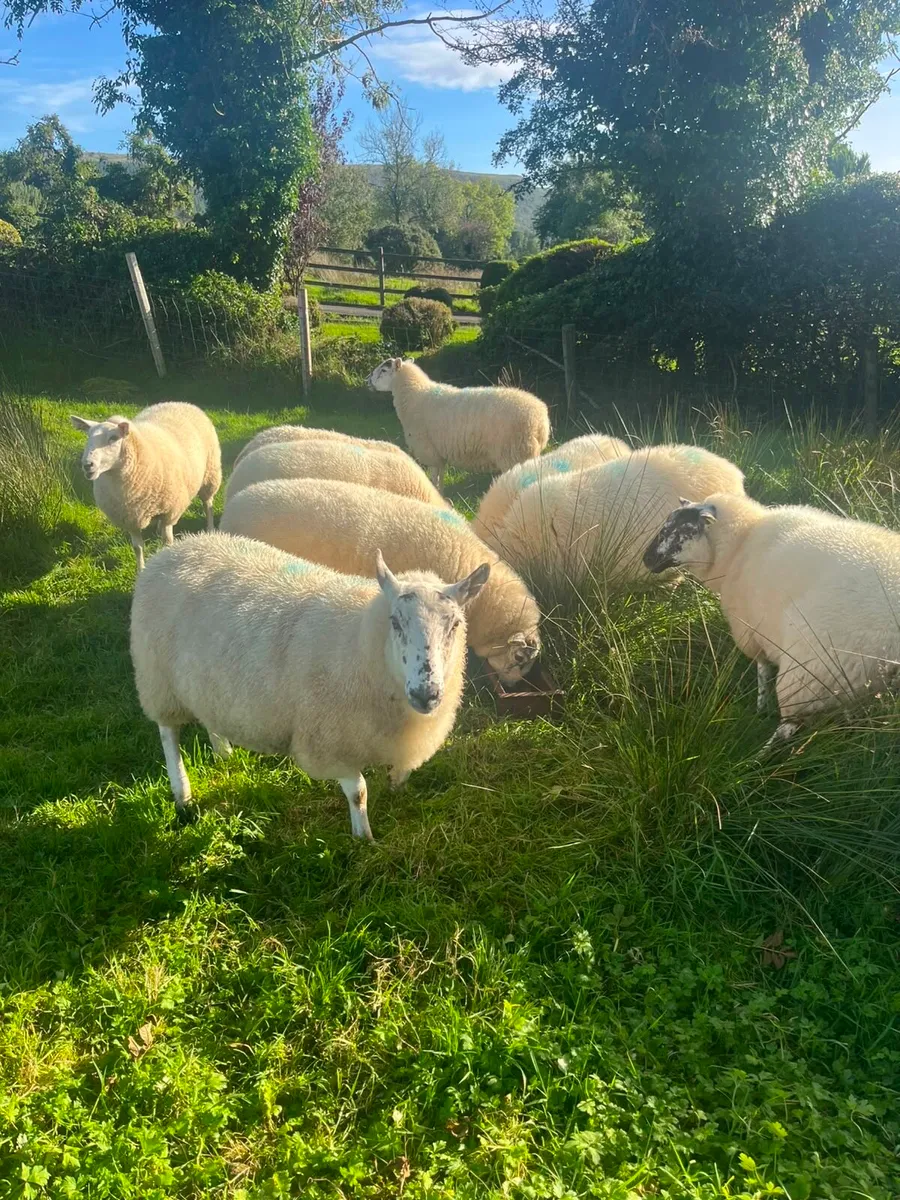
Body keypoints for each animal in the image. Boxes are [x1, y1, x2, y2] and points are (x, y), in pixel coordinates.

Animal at [70, 401, 221, 571]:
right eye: (88, 437)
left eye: (113, 438)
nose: (87, 465)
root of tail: (181, 403)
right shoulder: (130, 518)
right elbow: (137, 548)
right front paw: (140, 570)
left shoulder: (170, 512)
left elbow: (167, 543)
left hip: (210, 474)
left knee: (207, 504)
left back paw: (210, 528)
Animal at [131, 532, 490, 838]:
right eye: (395, 622)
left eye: (456, 624)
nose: (426, 694)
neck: (361, 640)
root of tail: (176, 548)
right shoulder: (332, 740)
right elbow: (358, 793)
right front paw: (363, 839)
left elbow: (399, 775)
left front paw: (394, 793)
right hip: (158, 681)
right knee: (168, 734)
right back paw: (182, 795)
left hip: (205, 683)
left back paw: (224, 753)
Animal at [367, 357, 551, 487]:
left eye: (384, 370)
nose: (367, 381)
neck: (414, 395)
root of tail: (540, 420)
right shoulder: (439, 454)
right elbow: (440, 479)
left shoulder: (429, 451)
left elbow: (434, 478)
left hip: (515, 453)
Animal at [643, 492, 900, 748]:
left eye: (678, 530)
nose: (646, 559)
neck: (742, 542)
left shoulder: (752, 630)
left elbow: (762, 670)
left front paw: (760, 707)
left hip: (811, 672)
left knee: (788, 726)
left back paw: (761, 753)